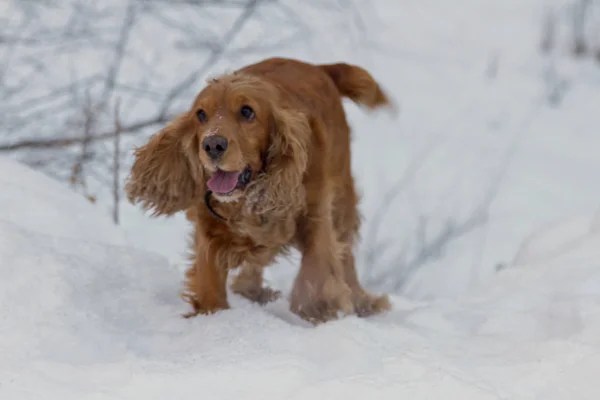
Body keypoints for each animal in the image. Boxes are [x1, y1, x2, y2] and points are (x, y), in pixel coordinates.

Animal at [126, 57, 396, 324]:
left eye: (247, 112)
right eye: (200, 114)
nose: (212, 144)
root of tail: (318, 67)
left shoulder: (315, 215)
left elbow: (316, 271)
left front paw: (319, 309)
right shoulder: (210, 229)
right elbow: (210, 280)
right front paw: (211, 315)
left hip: (341, 198)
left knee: (345, 250)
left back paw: (363, 302)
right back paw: (252, 290)